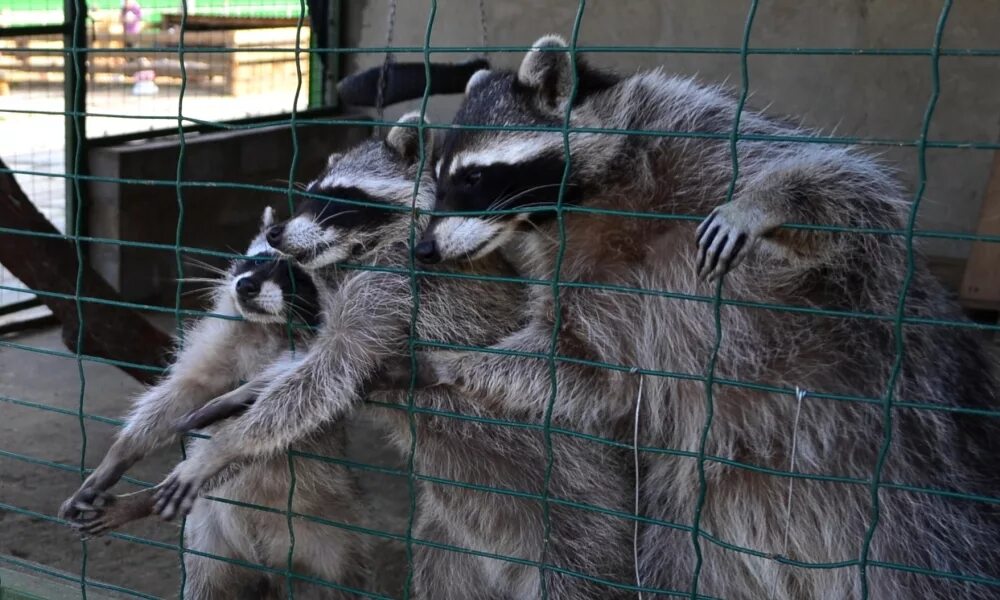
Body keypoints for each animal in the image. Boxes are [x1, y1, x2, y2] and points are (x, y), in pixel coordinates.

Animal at [59, 207, 372, 600]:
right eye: (255, 261)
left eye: (296, 277)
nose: (246, 286)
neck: (266, 328)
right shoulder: (220, 346)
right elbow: (181, 393)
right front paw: (119, 454)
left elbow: (262, 436)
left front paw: (147, 495)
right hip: (210, 545)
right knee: (206, 583)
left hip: (332, 548)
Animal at [161, 115, 636, 596]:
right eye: (309, 192)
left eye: (339, 196)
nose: (275, 234)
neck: (364, 250)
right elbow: (316, 360)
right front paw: (246, 394)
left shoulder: (394, 288)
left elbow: (332, 369)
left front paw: (232, 443)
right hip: (448, 544)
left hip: (581, 528)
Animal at [406, 36, 1000, 600]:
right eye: (436, 178)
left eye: (473, 178)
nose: (425, 248)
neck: (587, 203)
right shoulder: (586, 280)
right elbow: (582, 364)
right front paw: (460, 362)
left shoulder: (691, 133)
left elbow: (845, 187)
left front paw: (769, 201)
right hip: (696, 521)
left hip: (918, 506)